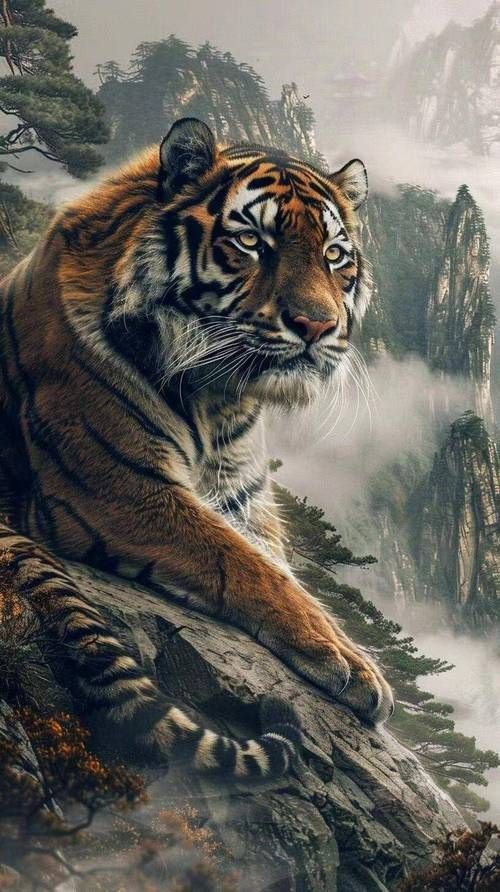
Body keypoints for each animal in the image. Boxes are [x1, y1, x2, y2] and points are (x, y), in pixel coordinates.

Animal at [0, 117, 393, 779]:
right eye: (253, 241)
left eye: (334, 255)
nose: (316, 326)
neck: (221, 397)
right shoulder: (122, 489)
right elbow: (245, 564)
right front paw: (350, 663)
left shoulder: (245, 502)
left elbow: (278, 565)